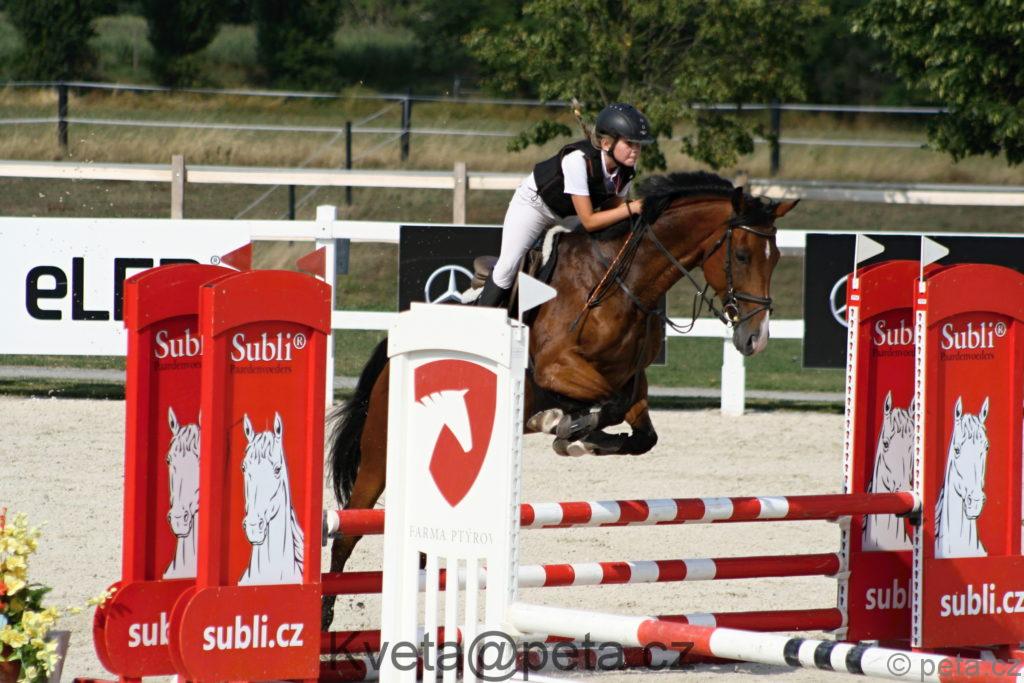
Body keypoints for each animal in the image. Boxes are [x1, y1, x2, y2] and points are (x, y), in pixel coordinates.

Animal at [322, 171, 798, 627]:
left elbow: (641, 432)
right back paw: (325, 615)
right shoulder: (556, 368)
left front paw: (584, 436)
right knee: (348, 528)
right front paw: (568, 428)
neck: (624, 282)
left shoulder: (632, 383)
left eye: (775, 257)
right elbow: (600, 405)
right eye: (742, 255)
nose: (755, 339)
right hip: (382, 451)